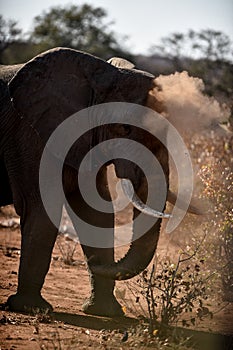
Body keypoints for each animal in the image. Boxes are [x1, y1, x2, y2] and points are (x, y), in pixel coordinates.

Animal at [0, 47, 196, 318]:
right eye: (124, 129)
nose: (96, 263)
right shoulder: (31, 135)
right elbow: (41, 209)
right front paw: (31, 308)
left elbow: (97, 212)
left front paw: (105, 312)